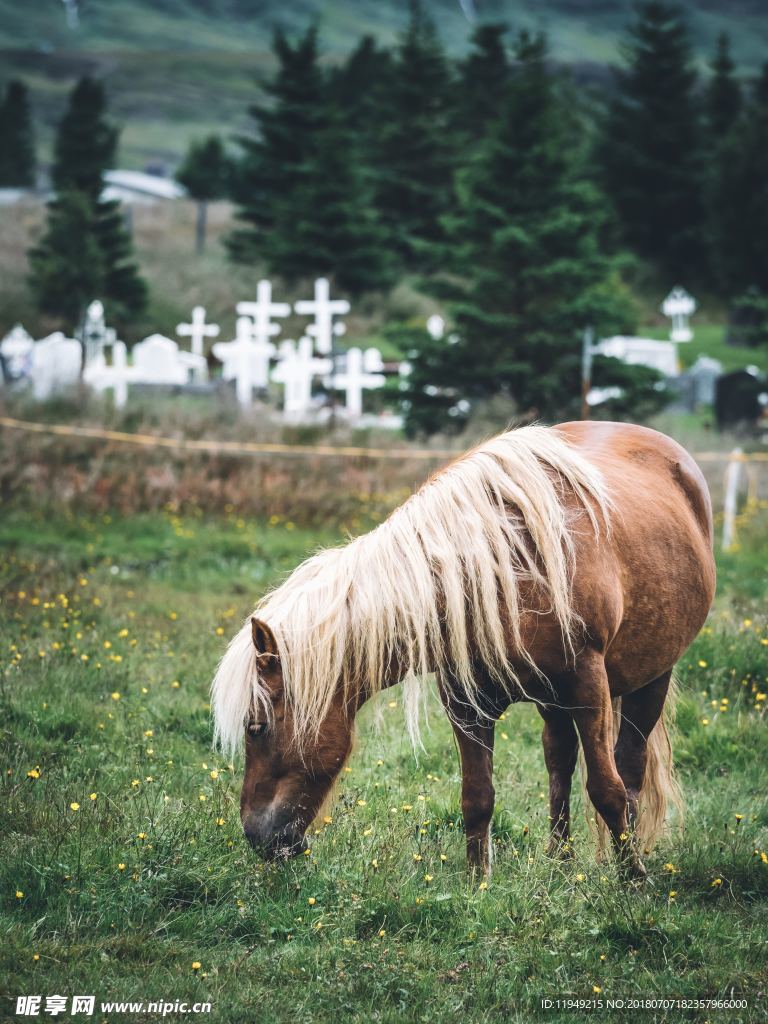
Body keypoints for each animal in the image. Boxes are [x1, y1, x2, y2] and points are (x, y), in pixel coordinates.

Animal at [208, 419, 716, 876]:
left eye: (256, 727)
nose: (255, 837)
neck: (501, 570)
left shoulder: (589, 687)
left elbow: (608, 790)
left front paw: (632, 885)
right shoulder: (466, 704)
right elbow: (477, 798)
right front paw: (477, 886)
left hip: (651, 677)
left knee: (629, 769)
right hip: (554, 702)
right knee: (559, 760)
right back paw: (559, 861)